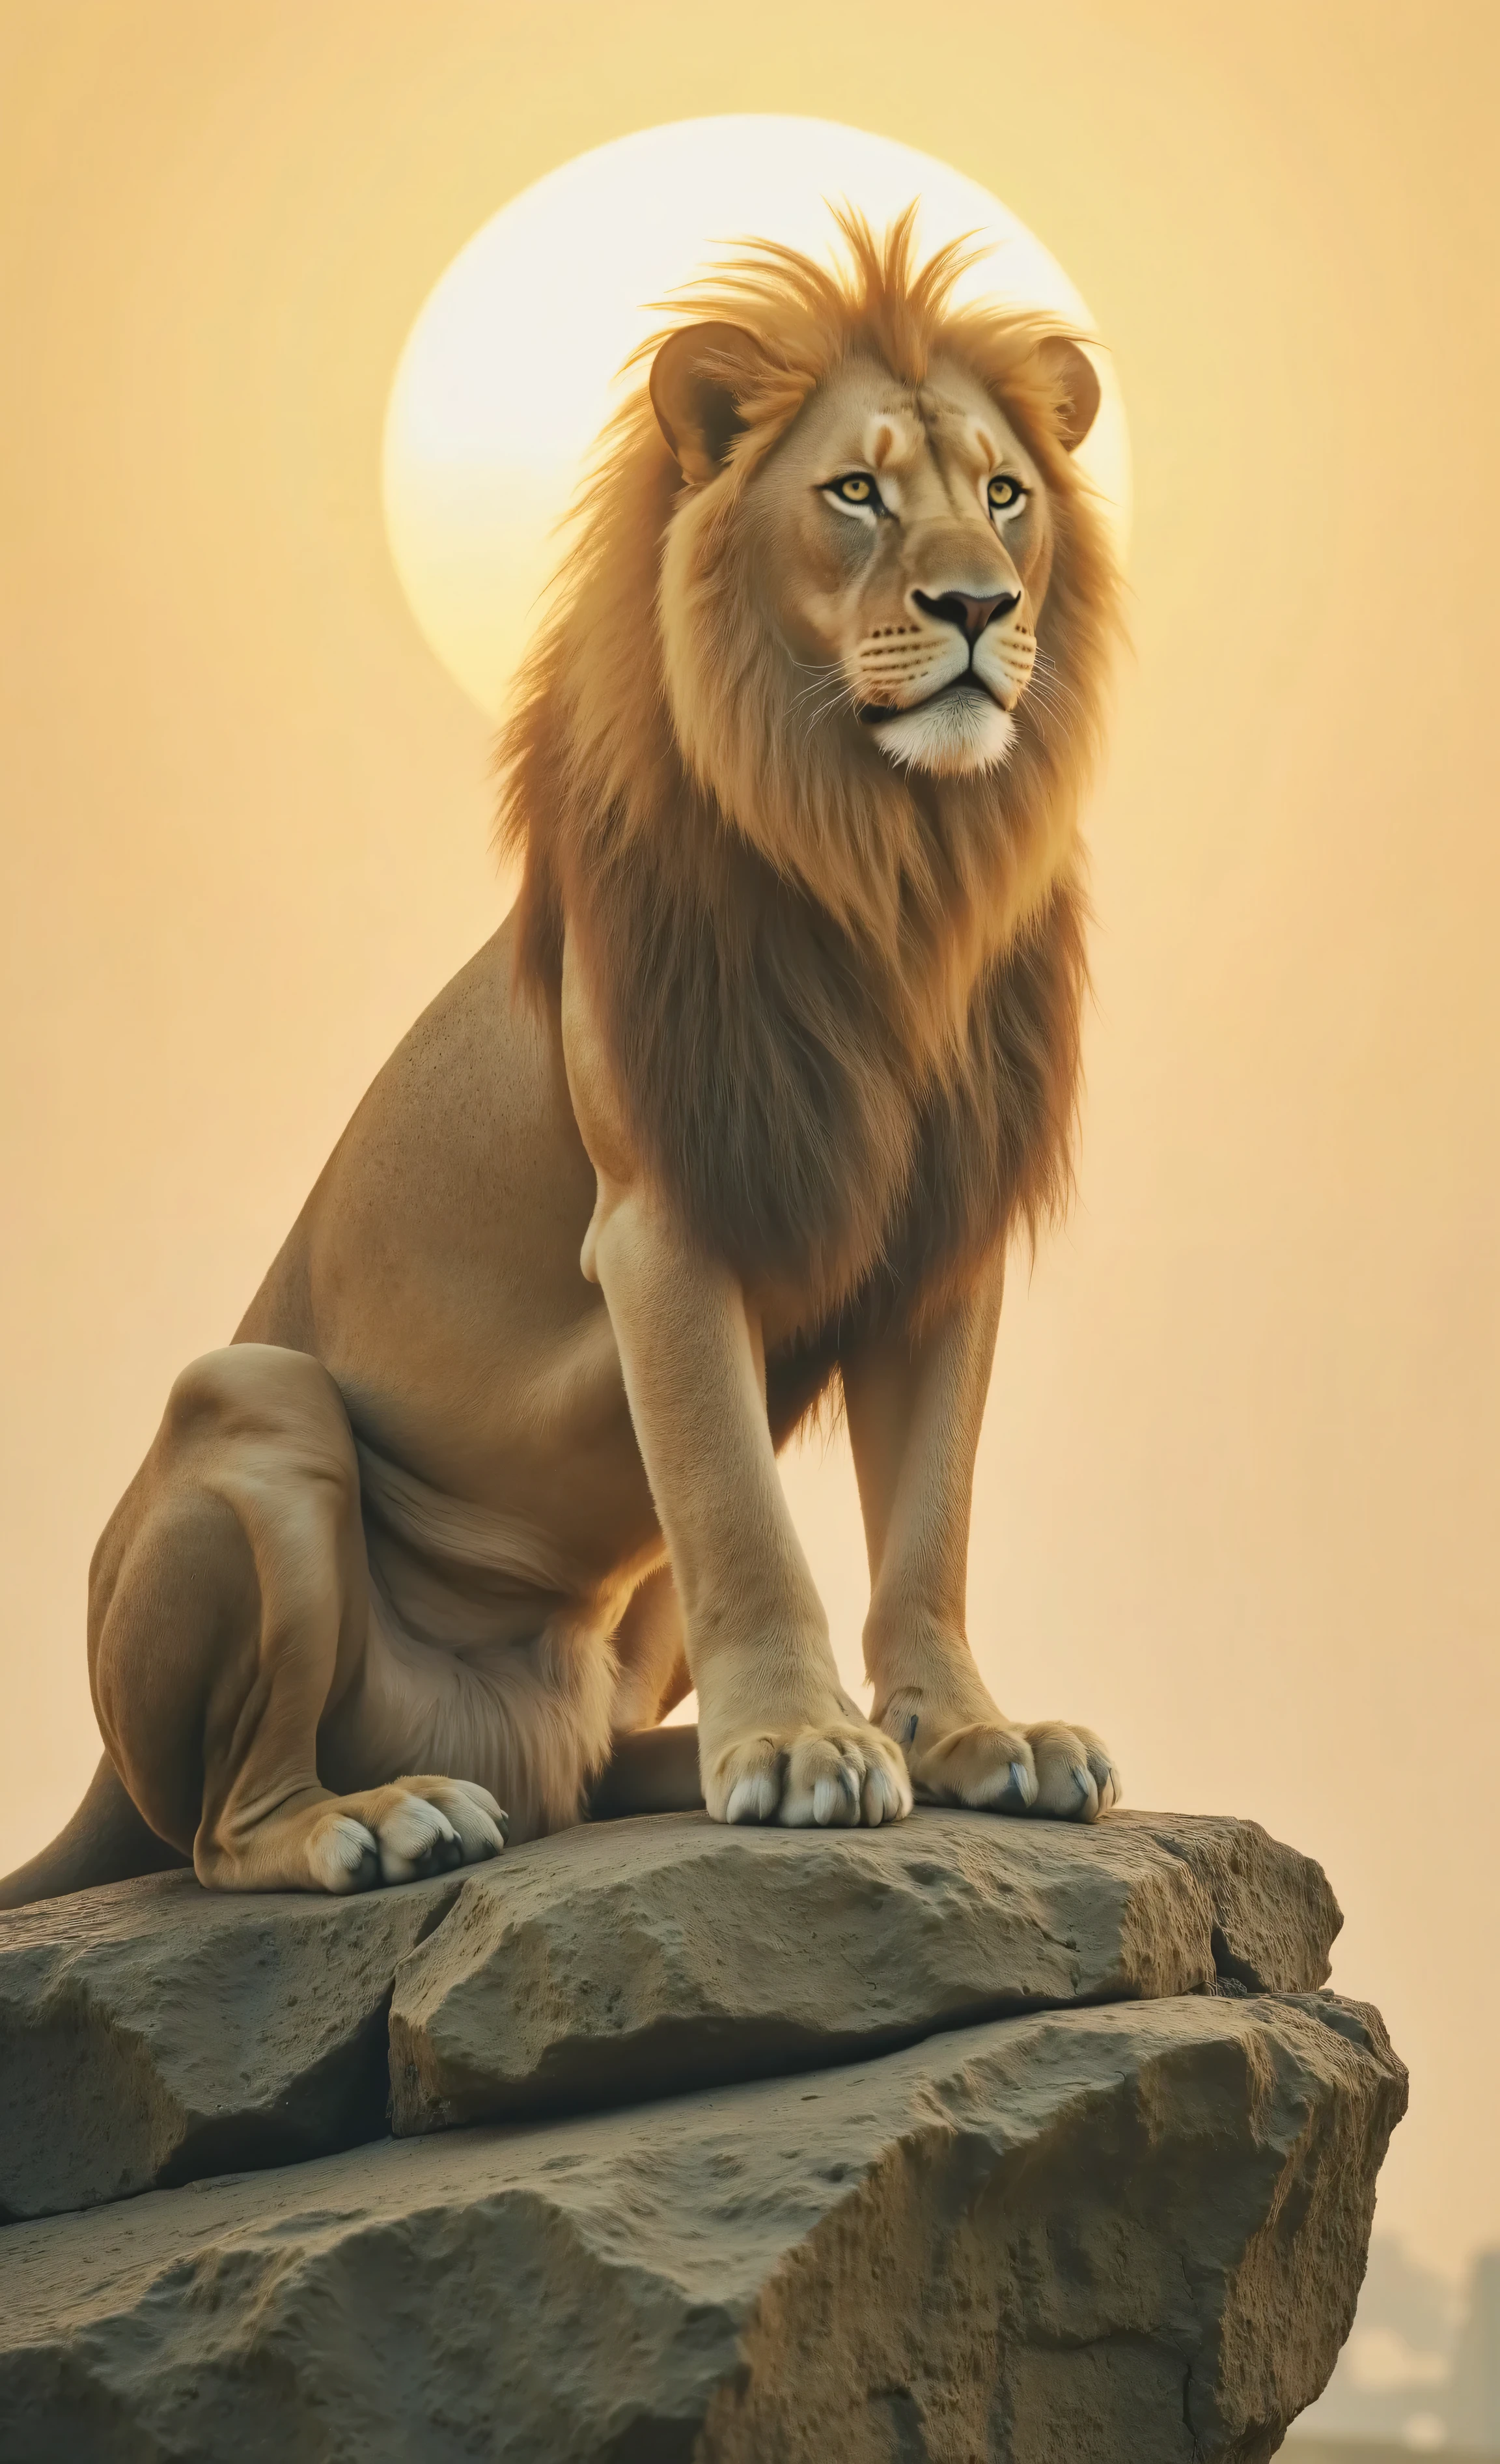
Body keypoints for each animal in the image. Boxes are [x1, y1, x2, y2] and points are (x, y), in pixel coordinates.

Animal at [0, 207, 1123, 1908]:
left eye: (1005, 494)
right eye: (855, 493)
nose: (982, 608)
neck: (891, 866)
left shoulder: (943, 1240)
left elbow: (930, 1522)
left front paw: (964, 1734)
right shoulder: (661, 1221)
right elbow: (738, 1509)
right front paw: (799, 1744)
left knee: (579, 1773)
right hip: (252, 1401)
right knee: (222, 1824)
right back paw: (386, 1817)